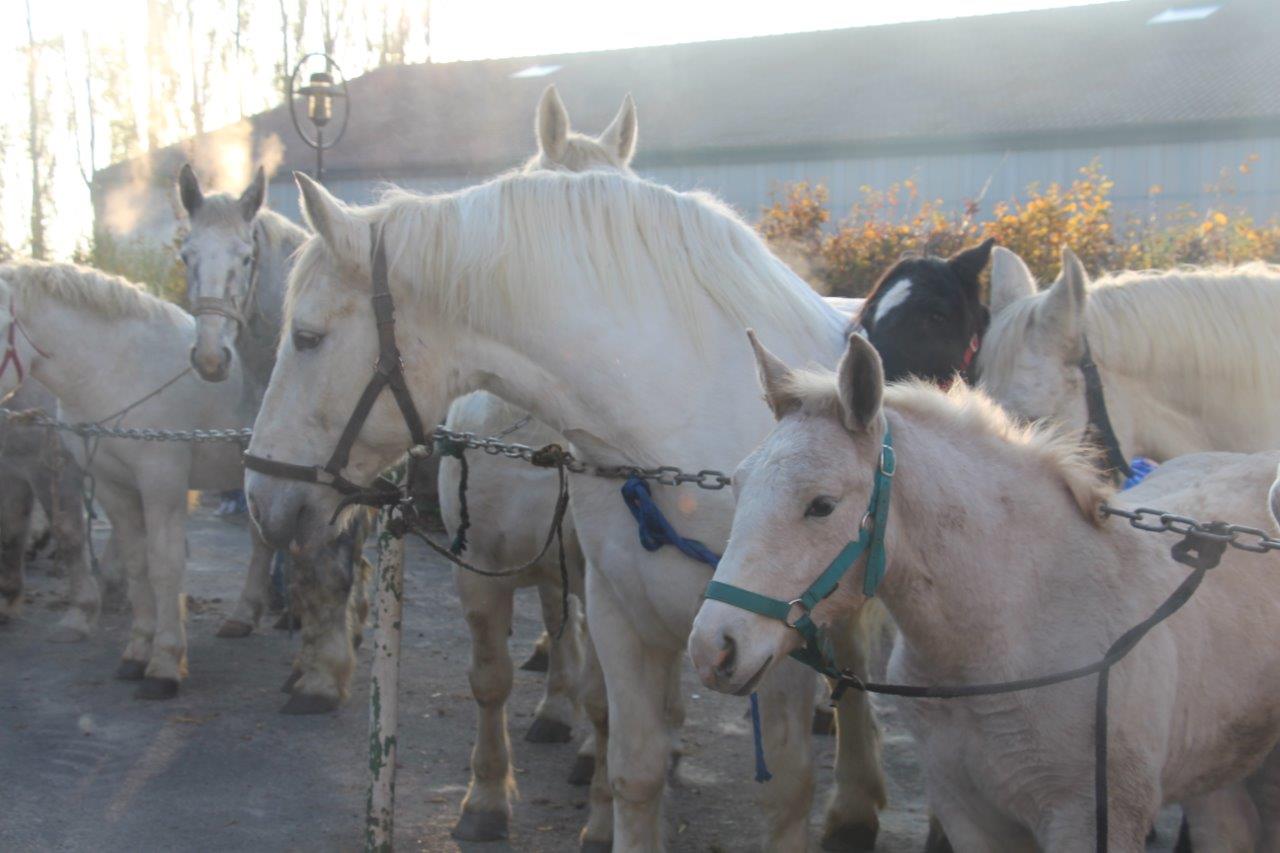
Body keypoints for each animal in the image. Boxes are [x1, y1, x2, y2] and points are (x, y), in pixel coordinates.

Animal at [0, 261, 254, 696]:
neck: (117, 371)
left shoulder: (161, 484)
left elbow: (163, 565)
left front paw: (165, 664)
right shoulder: (111, 487)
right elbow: (137, 564)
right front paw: (137, 653)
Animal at [244, 169, 890, 845]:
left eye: (307, 338)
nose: (260, 495)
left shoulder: (776, 643)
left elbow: (787, 789)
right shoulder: (618, 614)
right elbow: (632, 766)